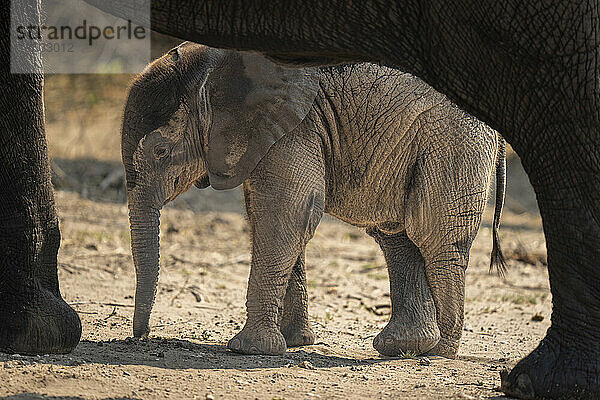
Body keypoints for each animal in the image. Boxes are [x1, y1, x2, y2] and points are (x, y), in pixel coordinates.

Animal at [123, 42, 506, 358]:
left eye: (160, 151)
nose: (141, 337)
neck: (212, 61)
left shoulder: (295, 125)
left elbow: (285, 214)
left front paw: (250, 350)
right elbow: (272, 216)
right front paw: (295, 342)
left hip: (454, 142)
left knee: (433, 236)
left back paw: (441, 351)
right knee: (396, 235)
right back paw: (404, 347)